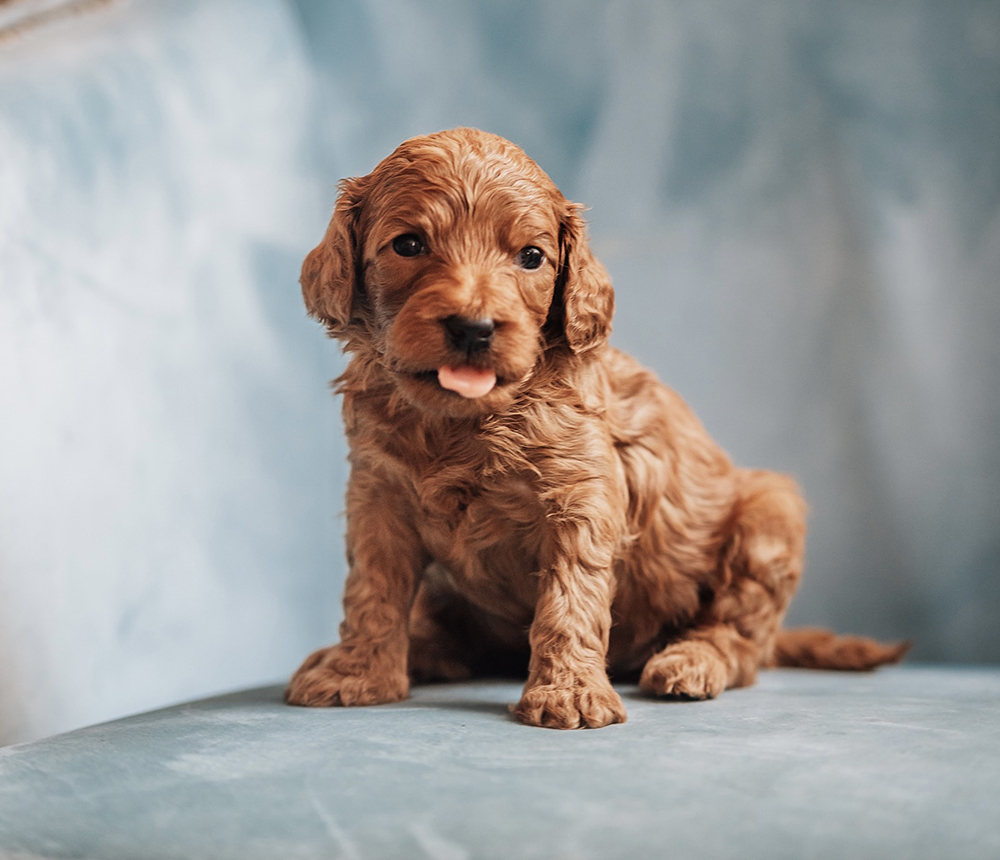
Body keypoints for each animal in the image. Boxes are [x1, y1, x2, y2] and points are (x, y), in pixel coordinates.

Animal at [284, 129, 908, 732]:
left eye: (531, 257)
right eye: (409, 245)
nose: (474, 328)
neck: (463, 421)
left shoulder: (580, 496)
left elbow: (569, 598)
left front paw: (569, 693)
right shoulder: (377, 495)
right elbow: (373, 590)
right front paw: (357, 673)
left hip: (768, 515)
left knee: (741, 639)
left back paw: (691, 660)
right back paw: (418, 650)